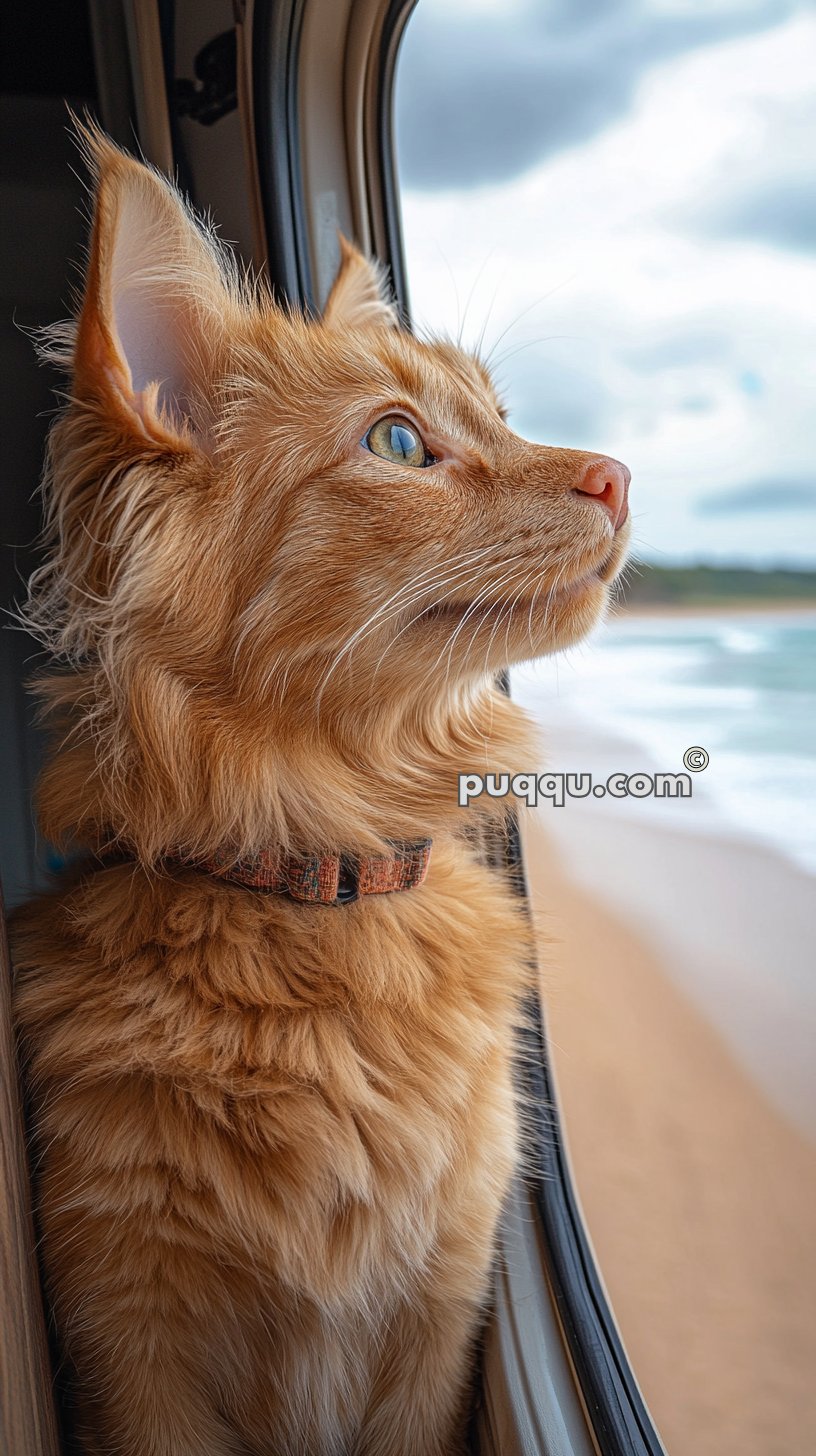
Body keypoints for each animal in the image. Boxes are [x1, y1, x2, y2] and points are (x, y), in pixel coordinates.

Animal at [11, 128, 632, 1456]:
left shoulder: (437, 1322)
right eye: (398, 444)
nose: (615, 474)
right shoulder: (130, 1342)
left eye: (502, 418)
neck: (322, 892)